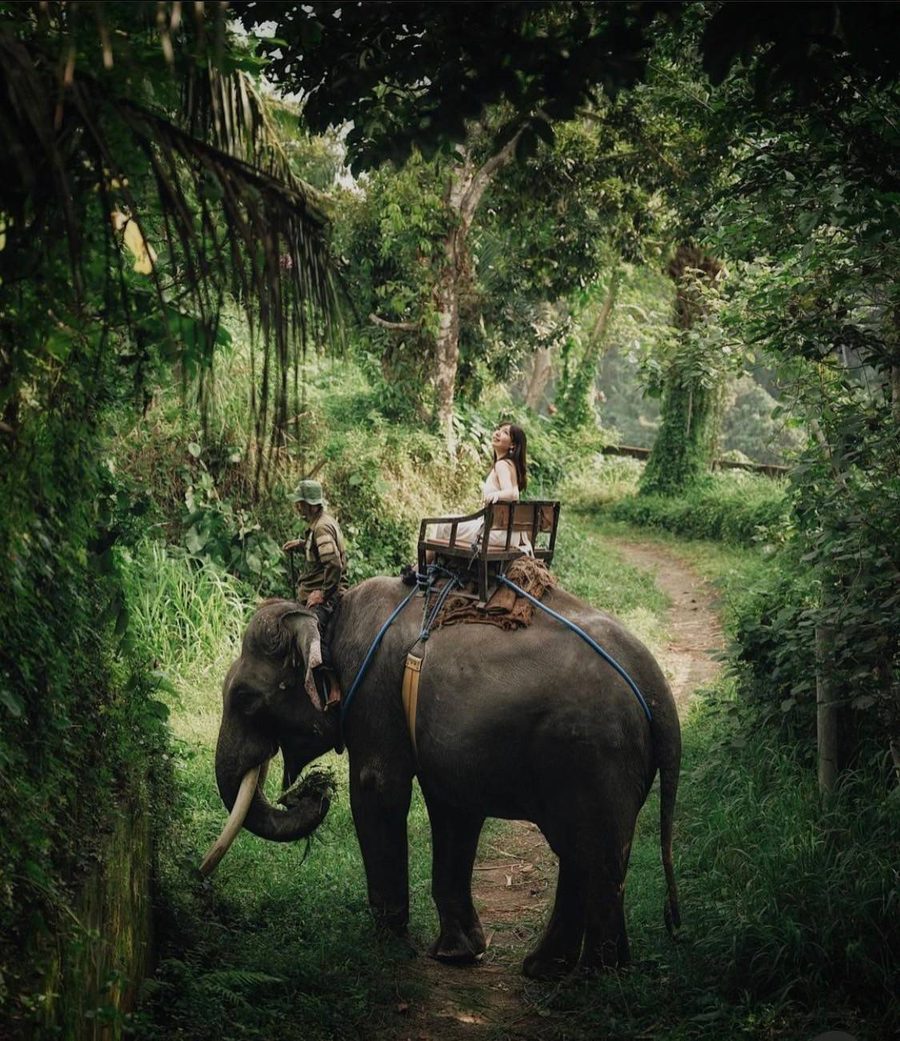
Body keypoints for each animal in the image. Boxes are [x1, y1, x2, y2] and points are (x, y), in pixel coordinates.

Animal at [201, 576, 681, 979]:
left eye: (244, 698)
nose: (311, 793)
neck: (326, 616)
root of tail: (656, 689)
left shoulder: (373, 695)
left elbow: (378, 791)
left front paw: (387, 945)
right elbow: (454, 809)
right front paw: (456, 954)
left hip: (593, 755)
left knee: (593, 853)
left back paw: (592, 978)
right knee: (587, 852)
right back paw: (554, 969)